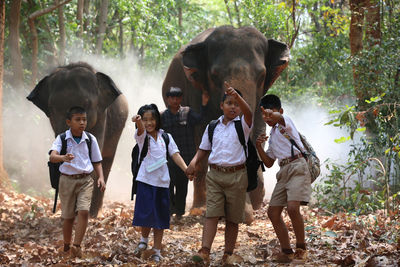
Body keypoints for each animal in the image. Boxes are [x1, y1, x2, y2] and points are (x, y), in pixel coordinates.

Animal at [27, 62, 128, 218]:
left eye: (86, 104)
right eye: (52, 107)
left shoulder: (102, 116)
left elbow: (94, 162)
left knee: (105, 164)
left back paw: (94, 214)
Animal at [161, 25, 290, 226]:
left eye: (262, 75)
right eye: (214, 75)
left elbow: (258, 128)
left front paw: (254, 201)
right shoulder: (195, 91)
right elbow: (201, 136)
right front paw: (204, 210)